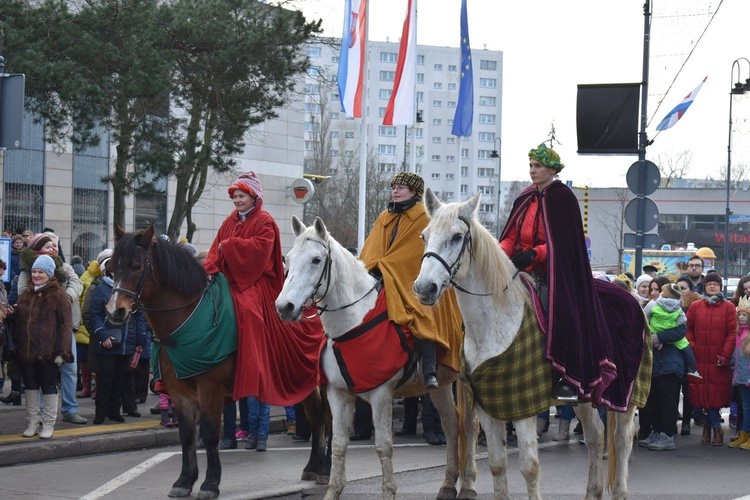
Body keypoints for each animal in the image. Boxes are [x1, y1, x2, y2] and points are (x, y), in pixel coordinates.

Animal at [108, 225, 328, 498]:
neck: (188, 318)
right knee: (316, 415)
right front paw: (184, 481)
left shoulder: (210, 389)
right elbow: (187, 434)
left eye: (136, 266)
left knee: (328, 418)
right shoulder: (179, 392)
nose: (115, 312)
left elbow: (211, 433)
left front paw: (210, 484)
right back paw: (313, 466)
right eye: (112, 269)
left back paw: (325, 469)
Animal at [278, 217, 482, 500]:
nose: (284, 307)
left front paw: (388, 491)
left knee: (469, 425)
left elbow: (384, 446)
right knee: (452, 425)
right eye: (287, 259)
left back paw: (469, 486)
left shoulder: (381, 395)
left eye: (316, 260)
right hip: (440, 384)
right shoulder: (338, 394)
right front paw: (332, 490)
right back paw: (448, 485)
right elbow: (339, 443)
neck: (354, 320)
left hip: (464, 379)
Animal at [414, 188, 648, 500]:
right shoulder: (487, 404)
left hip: (626, 395)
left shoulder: (522, 406)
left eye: (456, 236)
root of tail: (633, 299)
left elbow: (529, 467)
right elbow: (497, 465)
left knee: (622, 441)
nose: (423, 288)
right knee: (596, 436)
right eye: (424, 235)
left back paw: (619, 490)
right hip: (585, 394)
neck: (495, 322)